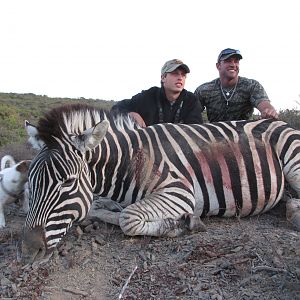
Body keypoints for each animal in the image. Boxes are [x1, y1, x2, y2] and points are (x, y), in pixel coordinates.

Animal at [19, 103, 300, 262]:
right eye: (30, 182)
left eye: (67, 183)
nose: (29, 251)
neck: (131, 160)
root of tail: (277, 120)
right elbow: (97, 209)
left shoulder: (180, 191)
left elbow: (128, 219)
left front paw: (179, 224)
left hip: (293, 160)